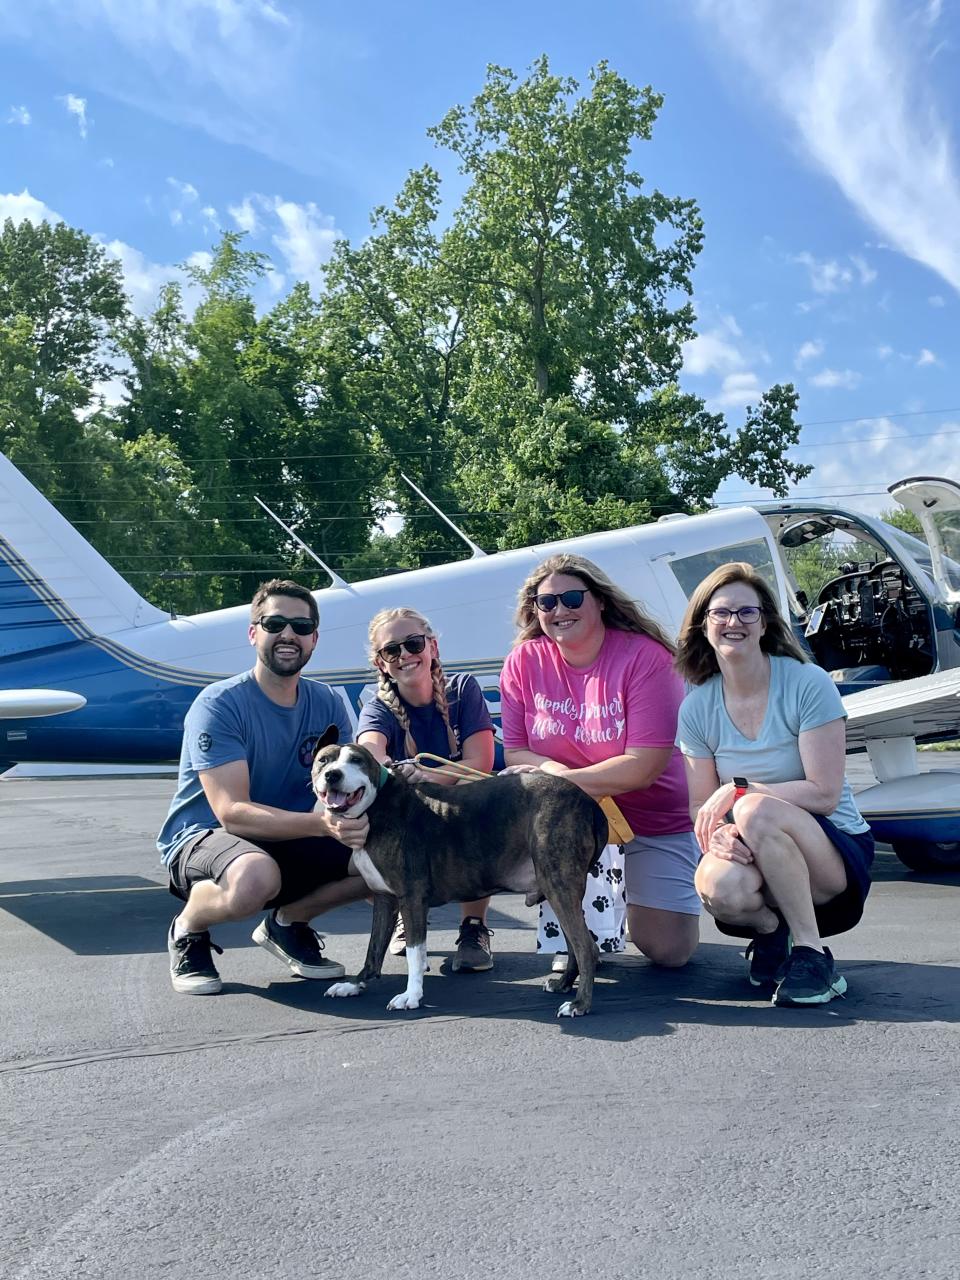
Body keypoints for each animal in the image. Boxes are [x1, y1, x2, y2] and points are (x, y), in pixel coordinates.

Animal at [312, 732, 604, 1018]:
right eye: (323, 760)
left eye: (356, 760)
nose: (332, 775)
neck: (376, 804)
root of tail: (588, 802)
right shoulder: (385, 899)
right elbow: (374, 948)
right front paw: (354, 984)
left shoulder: (412, 899)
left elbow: (415, 953)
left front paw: (411, 995)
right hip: (555, 889)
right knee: (575, 944)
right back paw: (564, 984)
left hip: (559, 885)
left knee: (585, 946)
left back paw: (580, 1003)